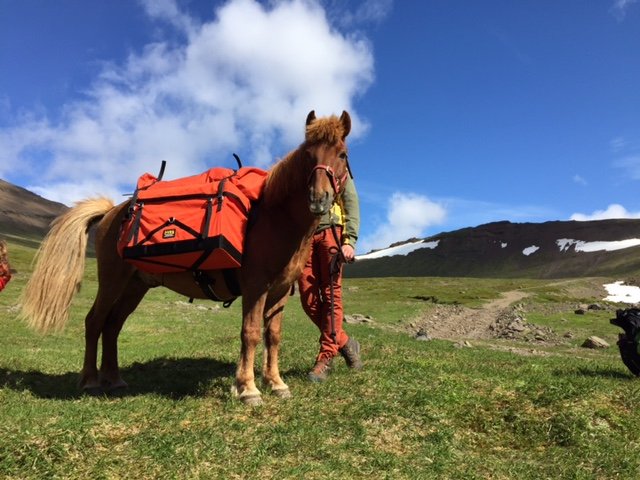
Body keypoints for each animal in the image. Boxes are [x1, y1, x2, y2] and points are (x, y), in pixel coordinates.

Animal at [20, 109, 352, 404]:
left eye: (342, 154)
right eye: (307, 155)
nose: (318, 200)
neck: (275, 220)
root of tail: (113, 211)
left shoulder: (280, 292)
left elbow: (274, 336)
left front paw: (276, 383)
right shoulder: (256, 288)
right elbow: (251, 333)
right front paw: (248, 389)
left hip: (135, 286)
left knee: (113, 326)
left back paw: (114, 379)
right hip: (112, 281)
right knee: (95, 321)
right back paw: (90, 380)